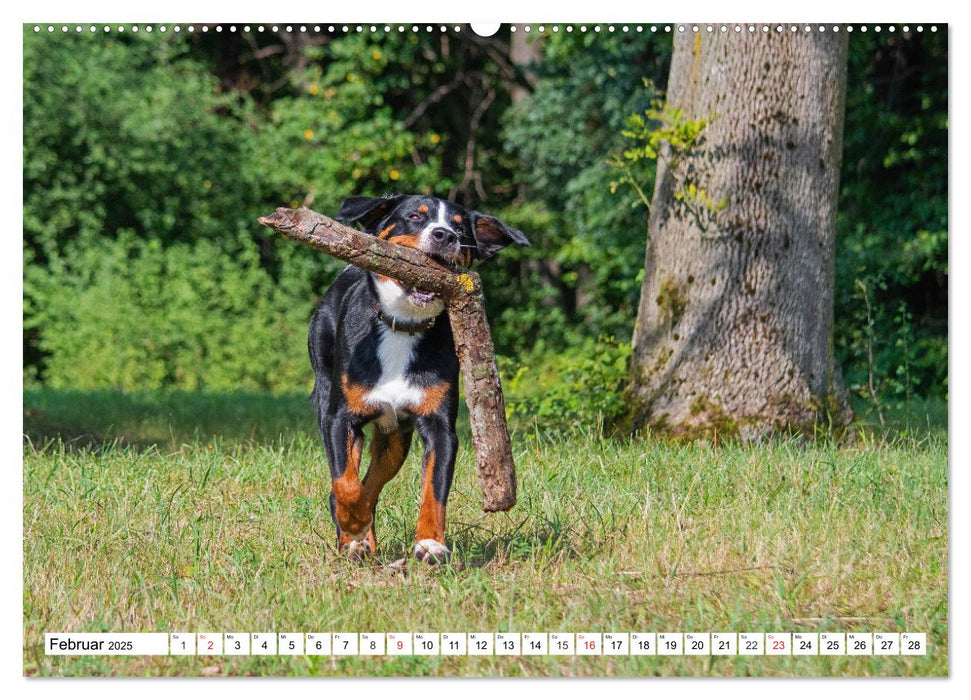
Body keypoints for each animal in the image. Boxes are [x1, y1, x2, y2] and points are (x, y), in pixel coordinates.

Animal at [310, 196, 524, 564]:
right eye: (414, 216)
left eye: (460, 230)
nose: (445, 235)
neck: (403, 326)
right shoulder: (340, 420)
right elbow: (345, 483)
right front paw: (353, 522)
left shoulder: (440, 428)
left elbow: (434, 491)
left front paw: (430, 542)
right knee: (348, 484)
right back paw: (352, 539)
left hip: (396, 440)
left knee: (372, 485)